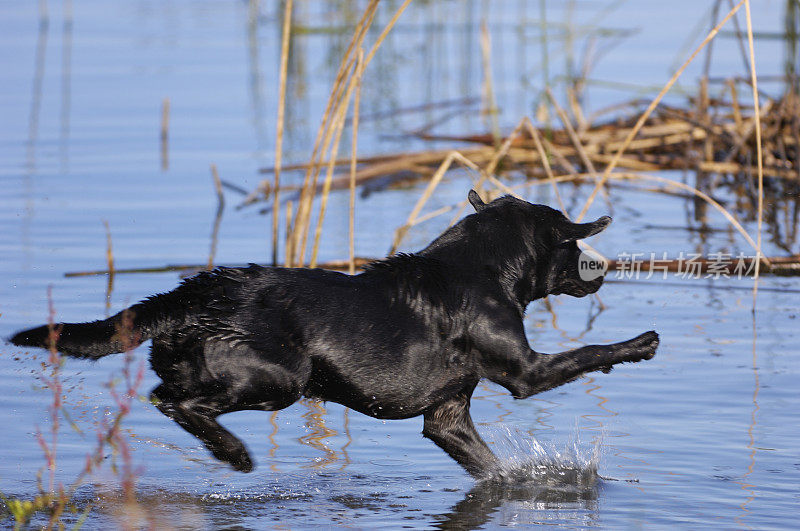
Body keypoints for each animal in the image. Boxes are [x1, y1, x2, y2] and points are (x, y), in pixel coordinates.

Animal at [10, 191, 656, 478]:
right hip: (279, 378)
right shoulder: (524, 372)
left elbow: (492, 470)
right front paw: (641, 344)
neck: (483, 266)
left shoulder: (446, 418)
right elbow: (590, 351)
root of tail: (192, 294)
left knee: (165, 397)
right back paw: (234, 454)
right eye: (571, 243)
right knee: (177, 402)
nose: (600, 271)